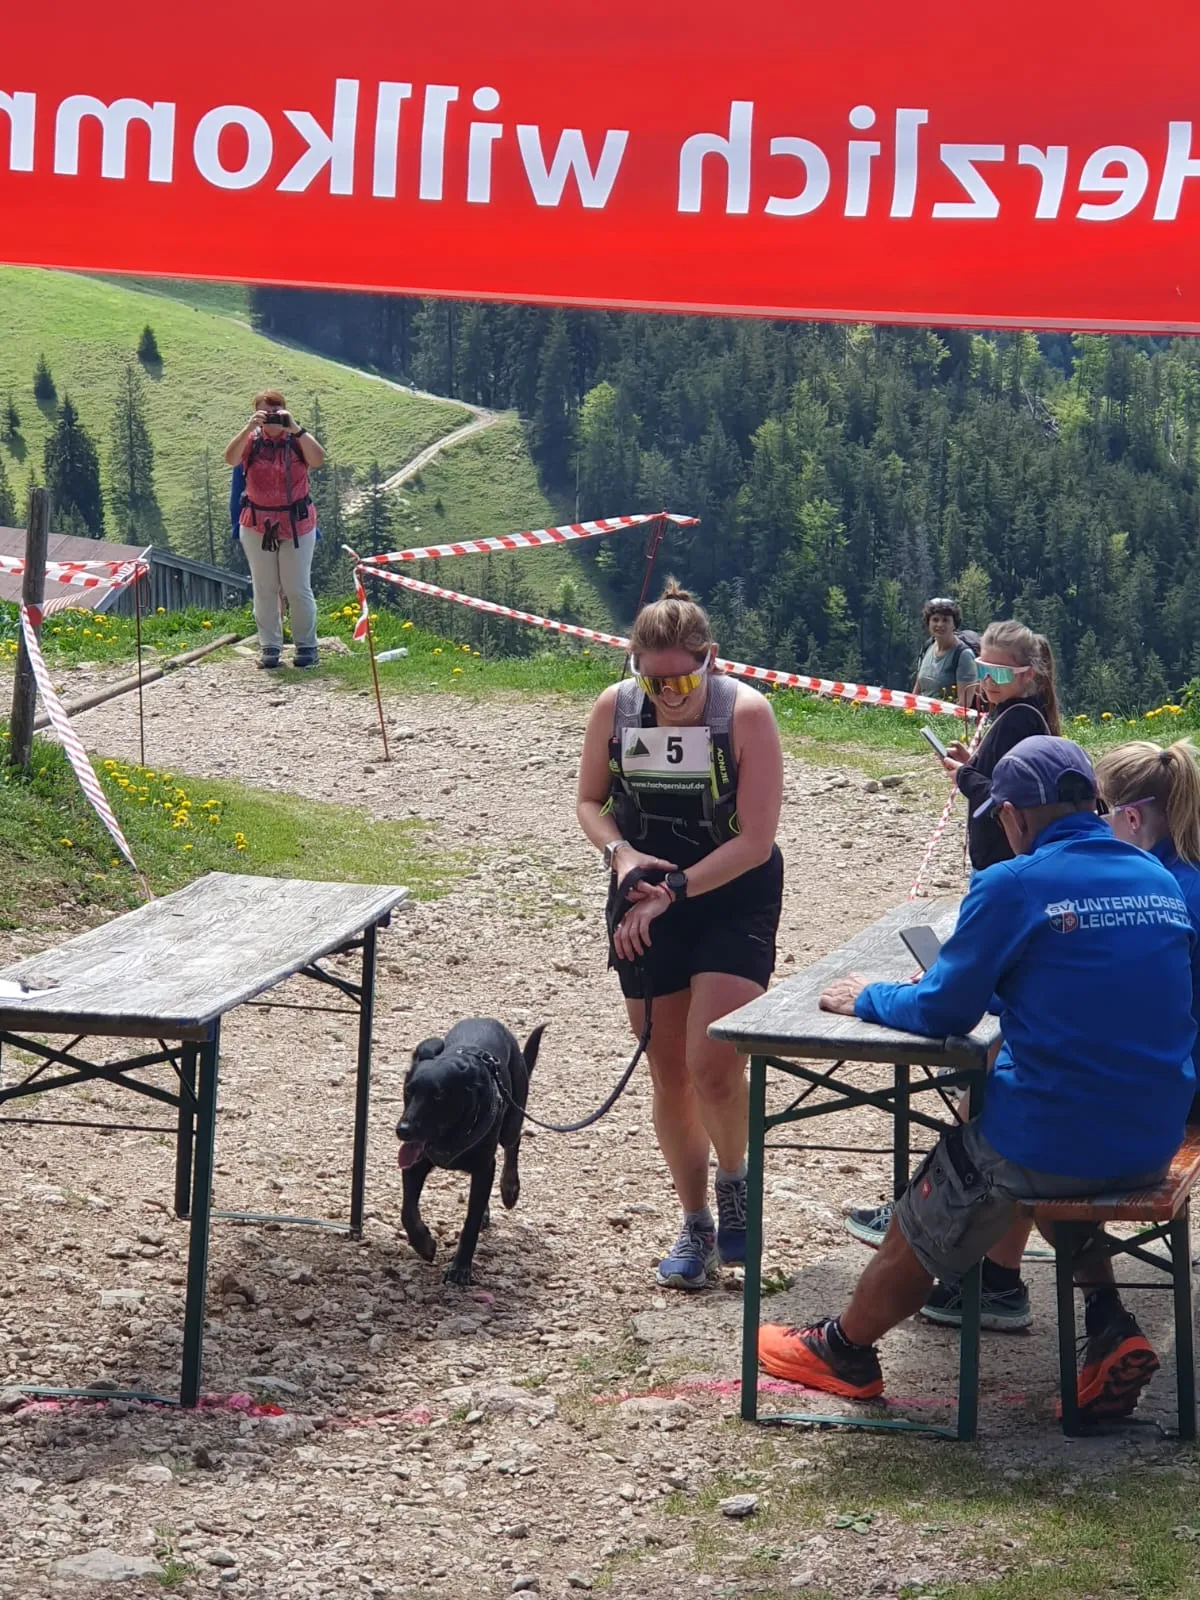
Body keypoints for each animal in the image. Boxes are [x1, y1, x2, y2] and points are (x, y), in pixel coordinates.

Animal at [395, 1018, 543, 1285]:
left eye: (438, 1095)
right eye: (409, 1090)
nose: (403, 1130)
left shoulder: (484, 1167)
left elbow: (470, 1223)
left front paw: (460, 1267)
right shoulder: (415, 1164)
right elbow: (408, 1211)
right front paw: (424, 1244)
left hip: (512, 1118)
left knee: (513, 1144)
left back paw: (510, 1187)